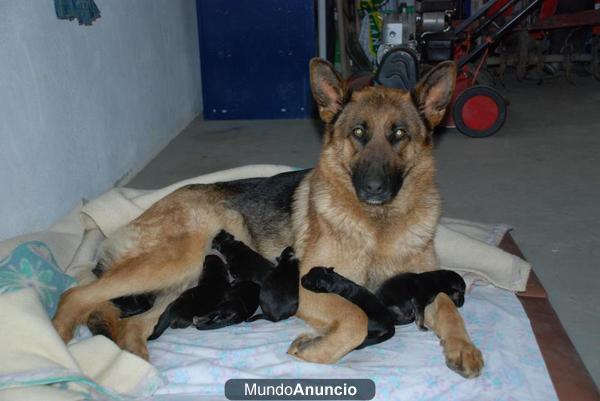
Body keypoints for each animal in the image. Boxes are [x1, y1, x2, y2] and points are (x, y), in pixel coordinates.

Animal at [302, 266, 466, 346]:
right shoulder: (418, 302)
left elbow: (420, 317)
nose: (301, 278)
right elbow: (420, 316)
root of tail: (390, 325)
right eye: (461, 293)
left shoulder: (418, 303)